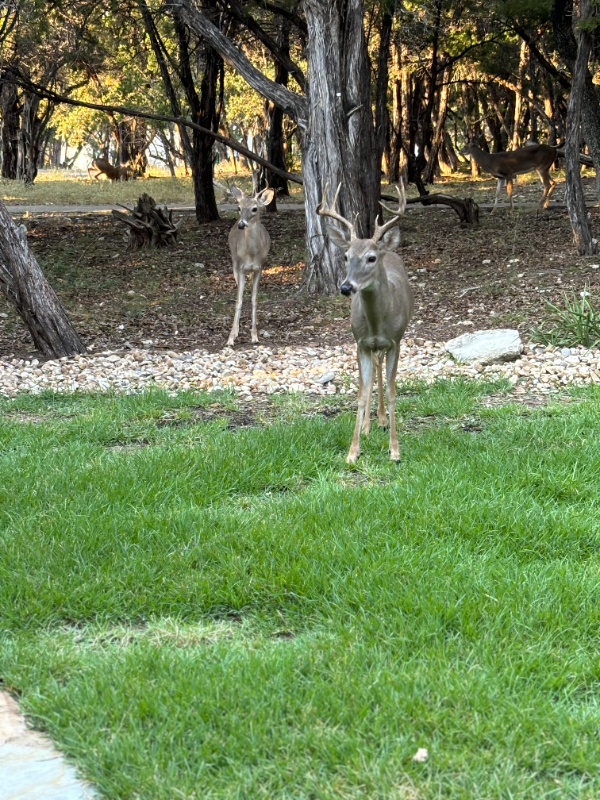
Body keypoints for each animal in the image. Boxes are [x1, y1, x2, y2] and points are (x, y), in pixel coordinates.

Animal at [226, 184, 276, 346]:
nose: (241, 224)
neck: (251, 254)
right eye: (238, 207)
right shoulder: (240, 267)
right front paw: (231, 337)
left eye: (254, 209)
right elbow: (239, 301)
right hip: (234, 262)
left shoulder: (259, 268)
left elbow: (254, 299)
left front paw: (254, 336)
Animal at [318, 182, 412, 462]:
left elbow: (392, 392)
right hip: (369, 346)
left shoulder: (395, 341)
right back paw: (371, 424)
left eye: (371, 258)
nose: (346, 287)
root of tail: (389, 250)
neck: (377, 322)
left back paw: (381, 420)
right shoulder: (360, 342)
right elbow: (361, 393)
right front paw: (353, 451)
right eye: (346, 256)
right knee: (373, 376)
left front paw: (395, 450)